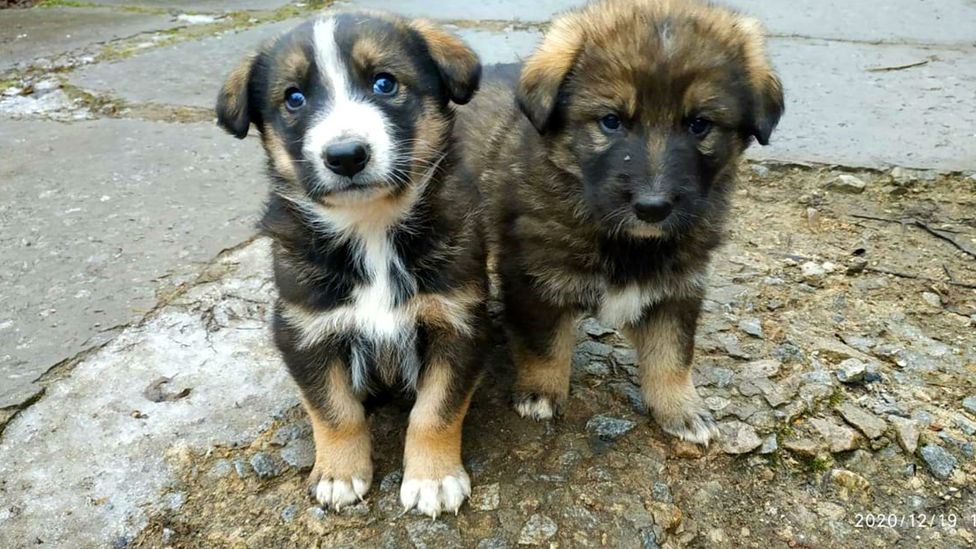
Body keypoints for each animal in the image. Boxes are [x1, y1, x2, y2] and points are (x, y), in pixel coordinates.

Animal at [215, 12, 486, 520]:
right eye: (294, 98)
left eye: (385, 83)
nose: (345, 156)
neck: (370, 227)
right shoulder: (304, 329)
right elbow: (333, 409)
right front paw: (339, 474)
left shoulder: (458, 321)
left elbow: (435, 410)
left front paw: (433, 478)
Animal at [458, 0, 784, 446]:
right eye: (611, 121)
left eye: (699, 124)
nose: (653, 207)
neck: (628, 241)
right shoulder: (533, 276)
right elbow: (545, 345)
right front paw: (540, 393)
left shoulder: (679, 285)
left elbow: (672, 354)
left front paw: (681, 409)